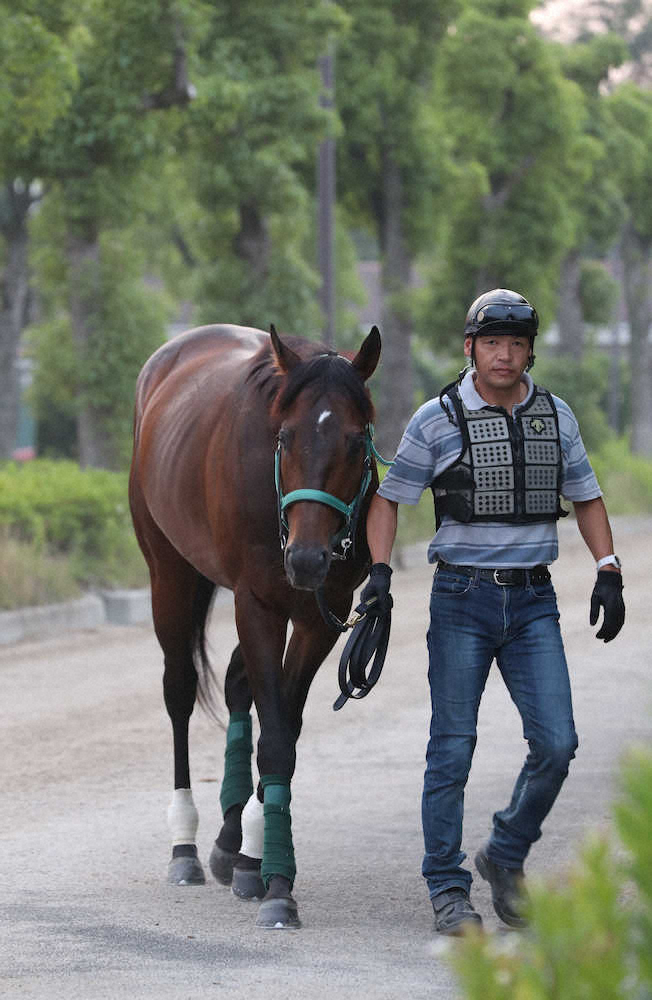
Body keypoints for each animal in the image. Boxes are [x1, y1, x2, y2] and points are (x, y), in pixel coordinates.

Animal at [129, 322, 381, 928]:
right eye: (283, 437)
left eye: (356, 442)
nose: (309, 560)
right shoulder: (258, 605)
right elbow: (275, 739)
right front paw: (276, 883)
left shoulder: (320, 616)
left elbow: (283, 727)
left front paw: (255, 857)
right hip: (168, 571)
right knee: (179, 691)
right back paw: (185, 845)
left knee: (239, 685)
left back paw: (230, 840)